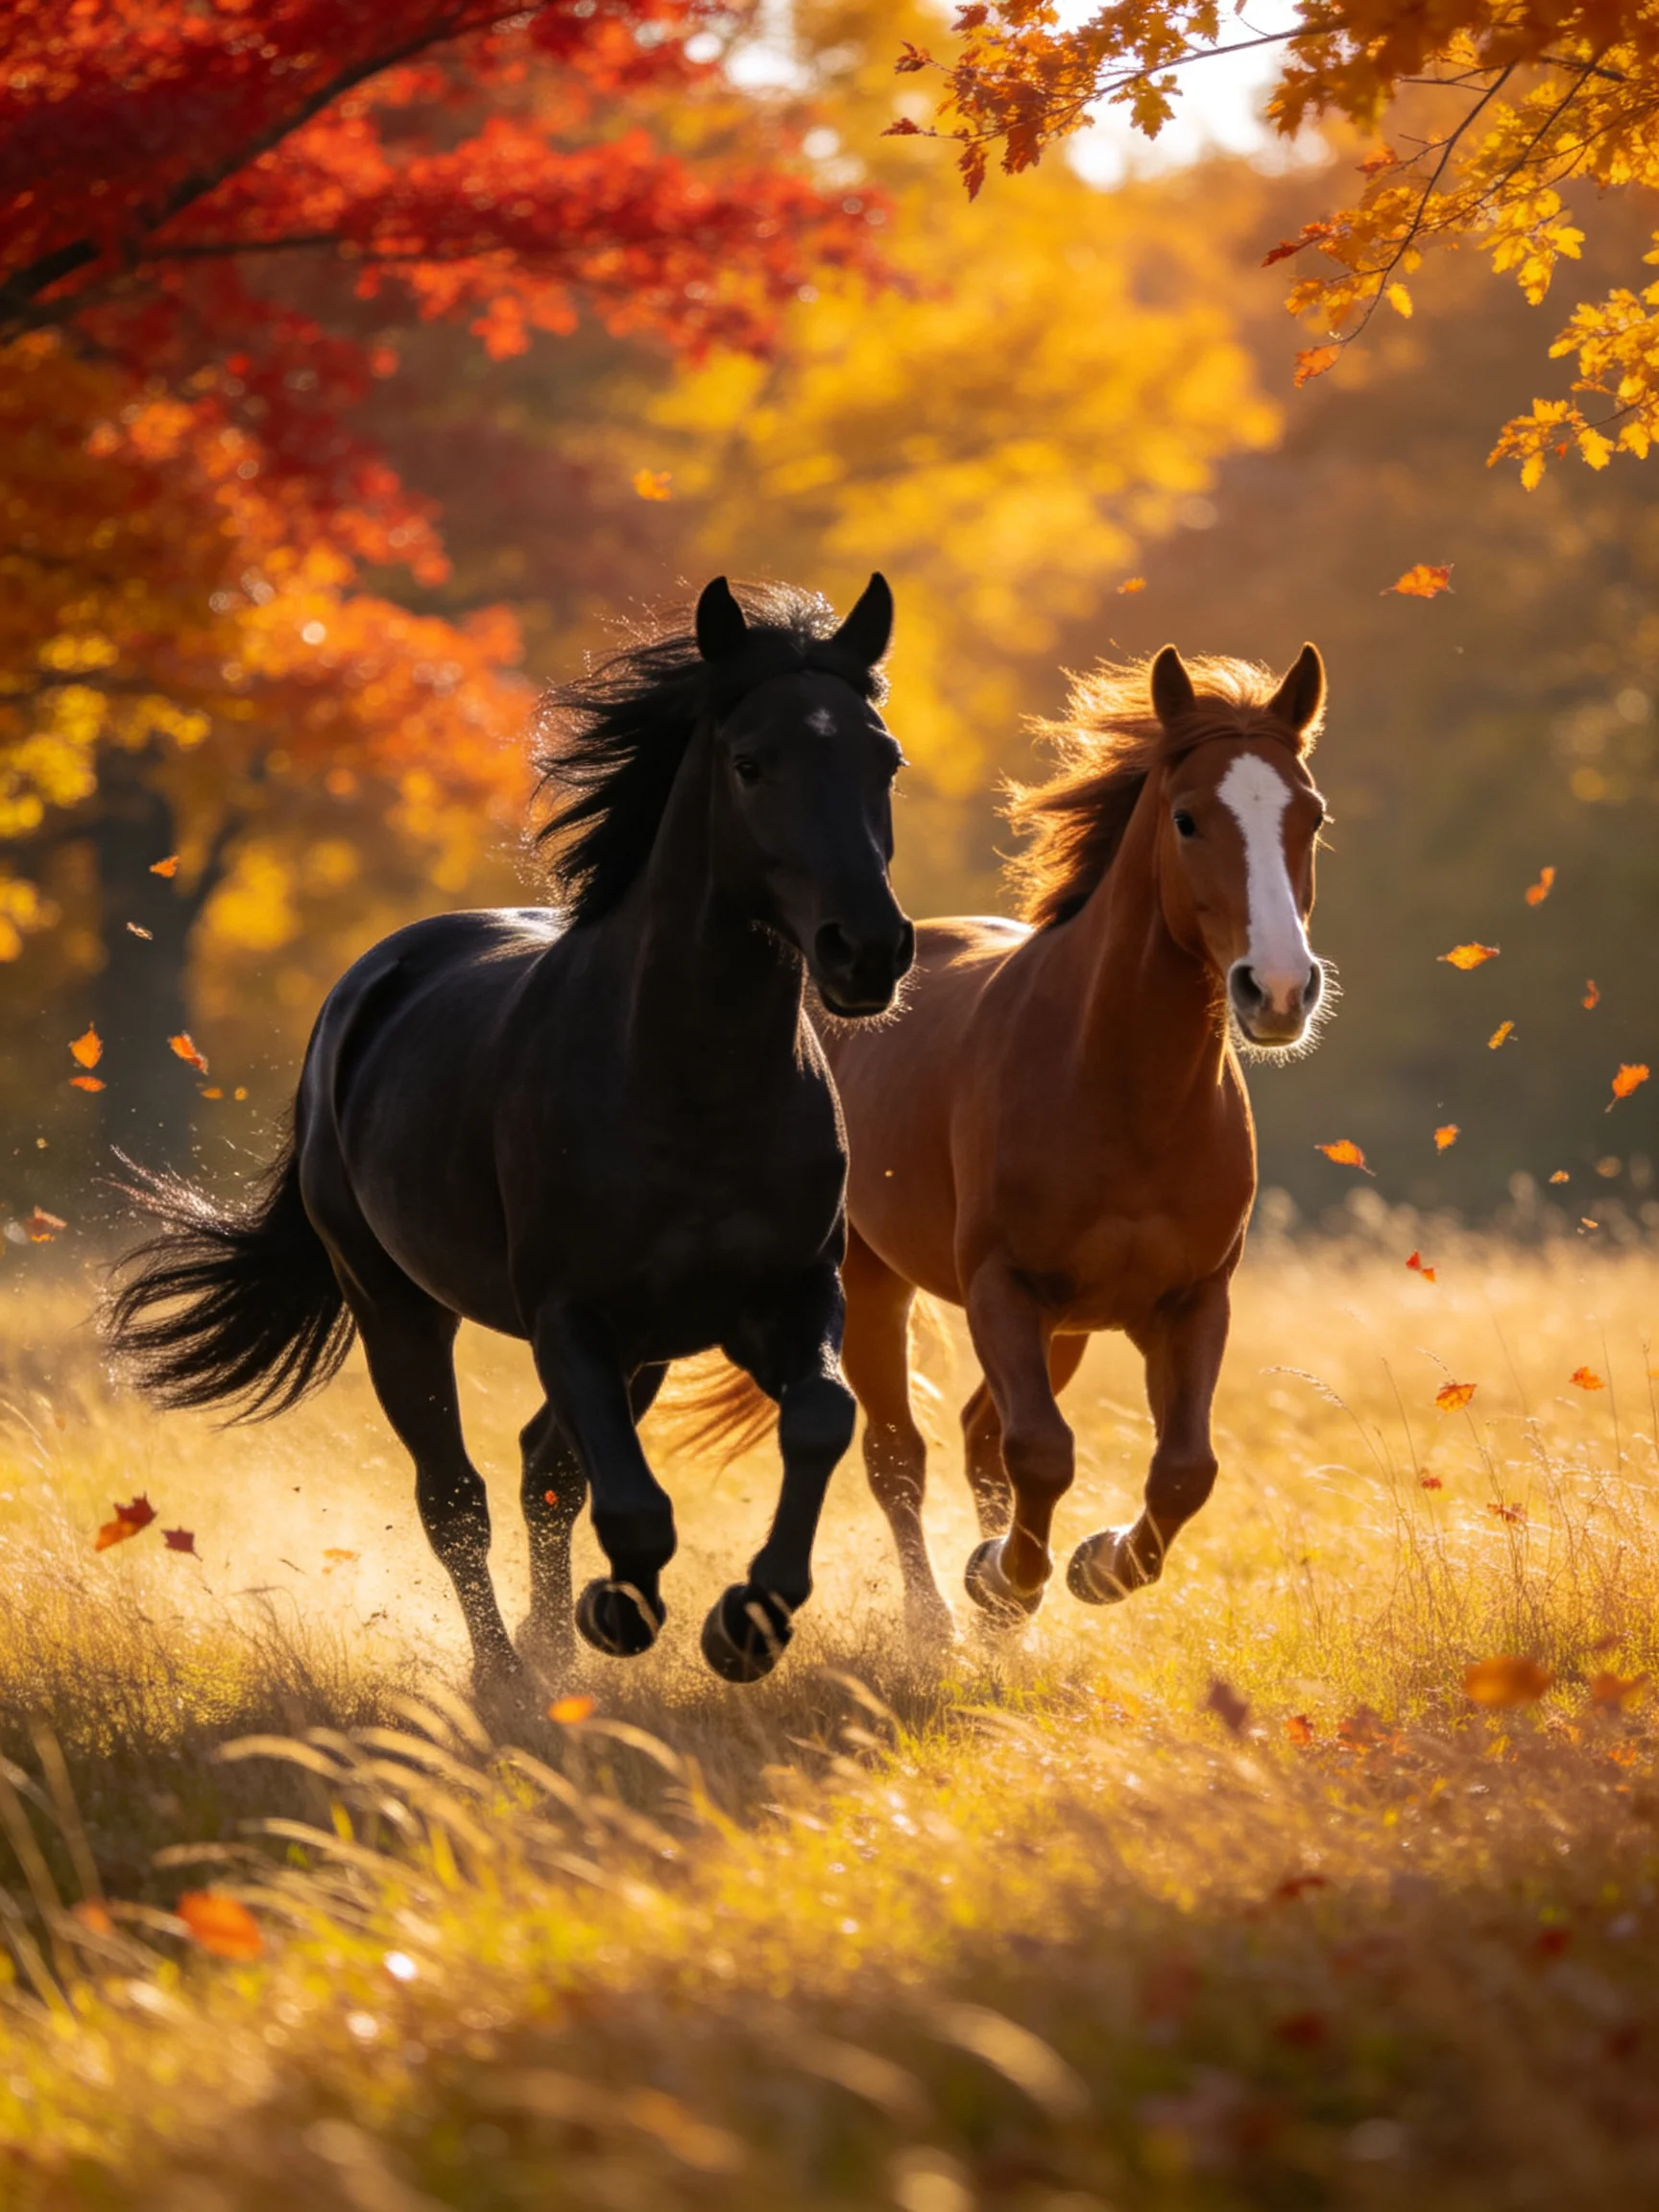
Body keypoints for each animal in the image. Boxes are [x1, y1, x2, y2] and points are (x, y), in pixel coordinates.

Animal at [105, 575, 915, 1688]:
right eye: (752, 762)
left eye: (886, 760)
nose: (867, 951)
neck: (687, 1083)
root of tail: (367, 986)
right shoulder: (569, 1314)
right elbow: (630, 1503)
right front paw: (619, 1616)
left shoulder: (779, 1299)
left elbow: (818, 1422)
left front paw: (746, 1623)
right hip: (396, 1307)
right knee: (456, 1495)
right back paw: (507, 1677)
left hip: (642, 1345)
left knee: (541, 1468)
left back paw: (549, 1652)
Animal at [681, 641, 1331, 1640]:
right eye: (1187, 819)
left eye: (1311, 816)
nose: (1282, 989)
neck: (1123, 1091)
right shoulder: (1002, 1288)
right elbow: (1040, 1452)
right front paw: (1001, 1579)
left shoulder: (1190, 1302)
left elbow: (1183, 1471)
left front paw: (1091, 1567)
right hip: (877, 1286)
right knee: (901, 1455)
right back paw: (938, 1625)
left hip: (1065, 1325)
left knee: (977, 1434)